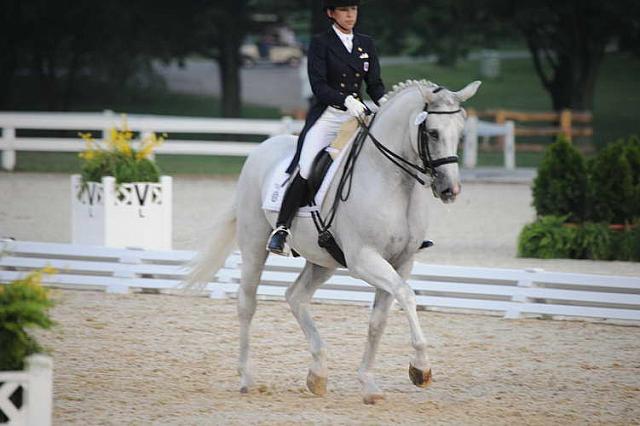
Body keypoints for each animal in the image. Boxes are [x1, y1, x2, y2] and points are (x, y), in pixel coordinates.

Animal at [188, 79, 482, 402]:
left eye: (461, 132)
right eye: (432, 132)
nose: (450, 189)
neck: (392, 180)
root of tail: (261, 149)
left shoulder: (402, 262)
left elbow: (379, 320)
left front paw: (369, 383)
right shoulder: (364, 259)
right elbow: (407, 296)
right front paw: (421, 368)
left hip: (323, 260)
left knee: (296, 296)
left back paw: (317, 373)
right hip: (254, 244)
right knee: (247, 303)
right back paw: (247, 378)